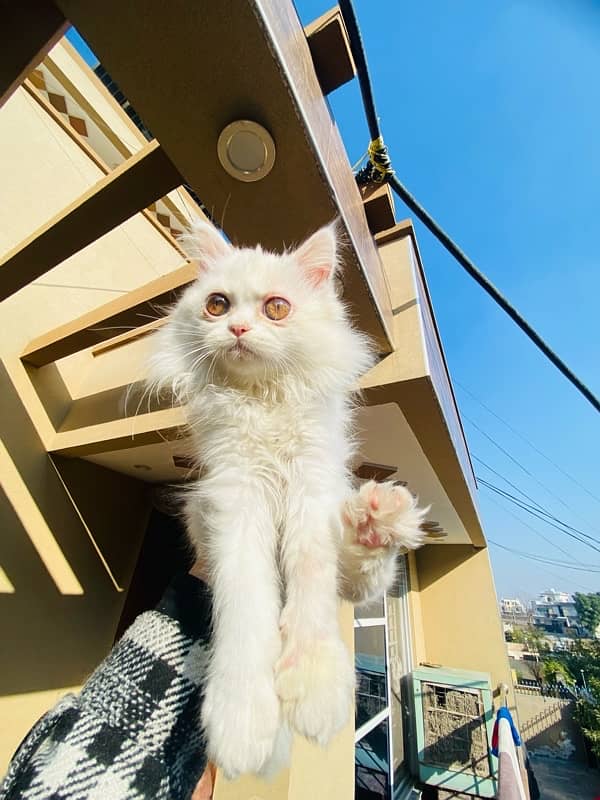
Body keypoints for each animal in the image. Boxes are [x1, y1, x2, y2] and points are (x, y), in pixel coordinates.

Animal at [147, 222, 424, 780]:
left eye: (276, 308)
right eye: (216, 305)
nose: (237, 330)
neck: (264, 402)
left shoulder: (311, 488)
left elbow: (312, 586)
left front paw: (315, 687)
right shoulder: (233, 500)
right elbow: (246, 605)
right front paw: (243, 718)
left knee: (364, 574)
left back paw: (378, 518)